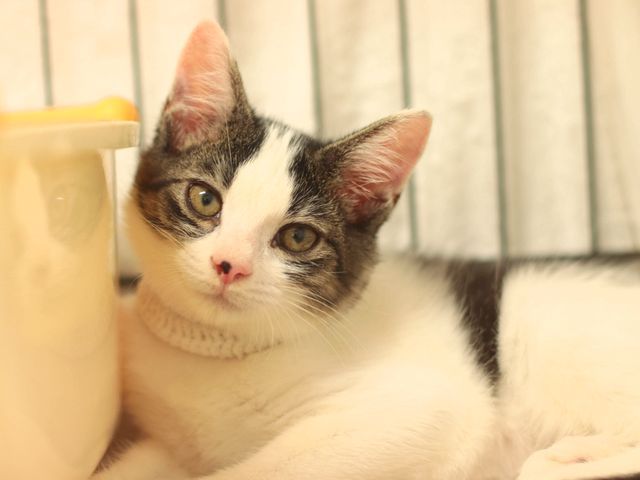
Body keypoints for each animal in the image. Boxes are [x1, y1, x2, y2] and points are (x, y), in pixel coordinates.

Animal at [94, 20, 640, 480]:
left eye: (297, 238)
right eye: (205, 199)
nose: (229, 266)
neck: (219, 346)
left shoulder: (424, 411)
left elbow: (265, 471)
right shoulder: (170, 442)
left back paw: (567, 459)